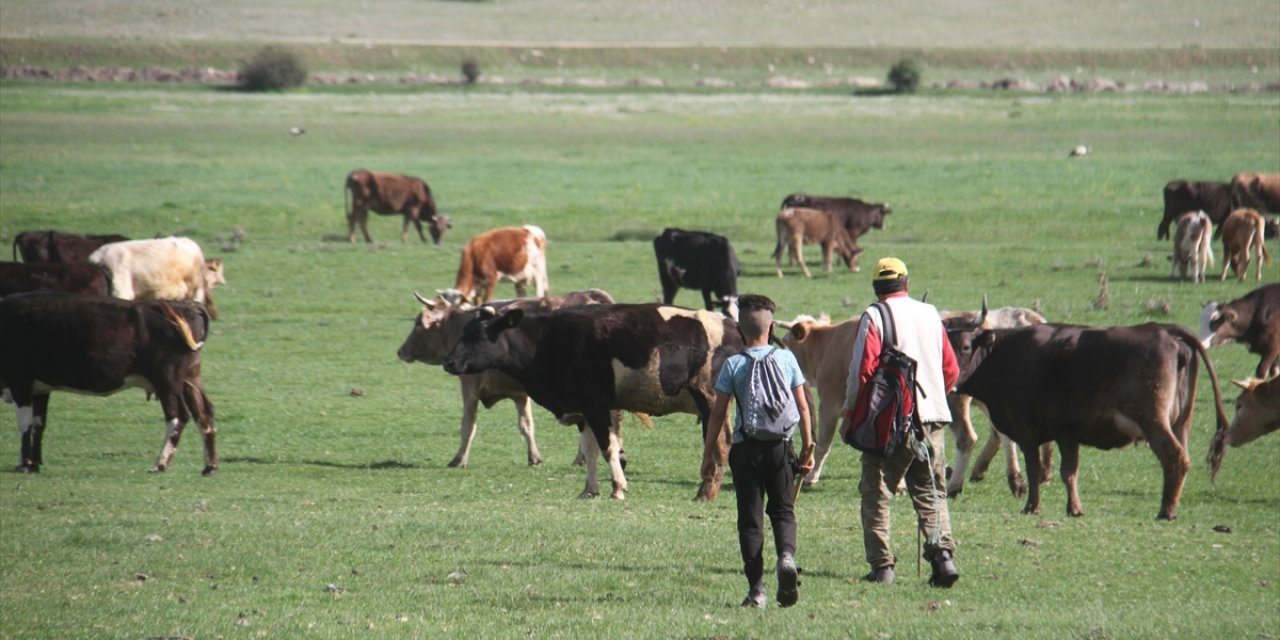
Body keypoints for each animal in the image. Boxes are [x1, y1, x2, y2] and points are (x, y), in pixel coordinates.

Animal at [0, 290, 216, 476]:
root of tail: (186, 305)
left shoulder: (20, 381)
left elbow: (25, 424)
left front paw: (24, 464)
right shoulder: (40, 388)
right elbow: (38, 423)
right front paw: (33, 463)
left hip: (167, 381)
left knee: (178, 416)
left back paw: (160, 464)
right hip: (189, 380)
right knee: (204, 414)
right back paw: (209, 467)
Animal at [399, 290, 619, 471]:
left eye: (418, 323)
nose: (401, 351)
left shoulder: (469, 388)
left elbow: (468, 425)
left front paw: (459, 459)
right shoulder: (520, 395)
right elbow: (526, 425)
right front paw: (534, 457)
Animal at [442, 303, 747, 499]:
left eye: (478, 334)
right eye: (463, 332)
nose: (449, 362)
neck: (549, 341)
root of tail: (732, 326)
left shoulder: (598, 406)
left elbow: (607, 447)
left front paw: (618, 488)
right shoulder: (584, 410)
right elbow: (589, 451)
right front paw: (590, 490)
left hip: (710, 400)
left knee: (720, 445)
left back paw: (705, 493)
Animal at [952, 322, 1228, 522]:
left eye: (965, 347)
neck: (1004, 356)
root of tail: (1165, 330)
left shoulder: (1026, 430)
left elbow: (1034, 469)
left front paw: (1032, 506)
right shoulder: (1066, 434)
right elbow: (1069, 473)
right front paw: (1074, 508)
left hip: (1154, 423)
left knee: (1174, 458)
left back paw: (1166, 510)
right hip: (1181, 424)